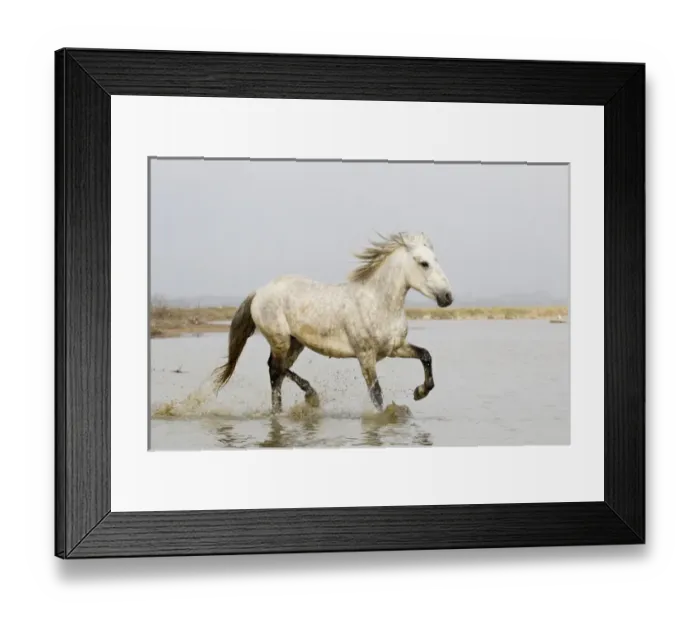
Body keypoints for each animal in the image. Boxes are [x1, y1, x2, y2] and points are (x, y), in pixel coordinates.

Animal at [211, 232, 454, 413]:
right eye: (424, 263)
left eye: (436, 260)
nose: (448, 297)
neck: (378, 302)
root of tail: (260, 291)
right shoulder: (366, 355)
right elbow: (376, 394)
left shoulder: (395, 348)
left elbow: (425, 355)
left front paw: (419, 392)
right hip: (280, 339)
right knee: (275, 370)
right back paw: (303, 401)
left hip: (295, 343)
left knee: (277, 371)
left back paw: (289, 407)